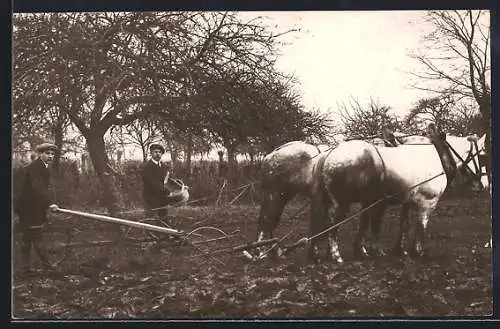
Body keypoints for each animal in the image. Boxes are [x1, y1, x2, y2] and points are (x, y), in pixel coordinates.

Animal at [310, 124, 486, 262]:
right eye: (482, 156)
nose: (483, 185)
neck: (436, 154)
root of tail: (329, 153)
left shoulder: (406, 202)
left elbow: (404, 225)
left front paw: (400, 250)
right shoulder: (428, 202)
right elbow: (422, 225)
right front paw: (418, 252)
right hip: (342, 202)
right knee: (332, 223)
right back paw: (335, 255)